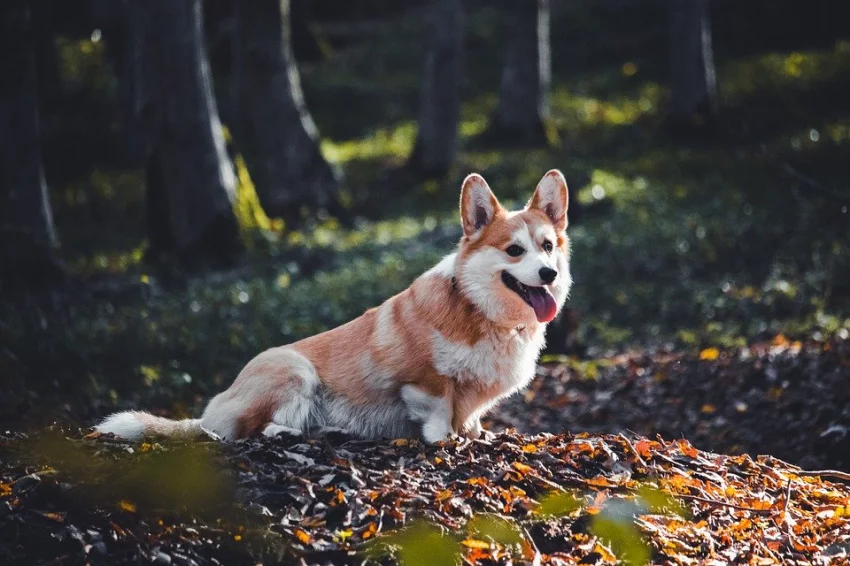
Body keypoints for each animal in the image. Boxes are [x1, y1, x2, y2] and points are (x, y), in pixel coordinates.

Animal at [97, 170, 568, 444]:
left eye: (547, 246)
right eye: (514, 250)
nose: (548, 274)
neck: (480, 309)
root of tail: (209, 409)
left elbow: (471, 419)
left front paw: (476, 434)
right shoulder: (424, 381)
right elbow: (437, 412)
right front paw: (445, 440)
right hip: (294, 371)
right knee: (241, 431)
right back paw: (283, 433)